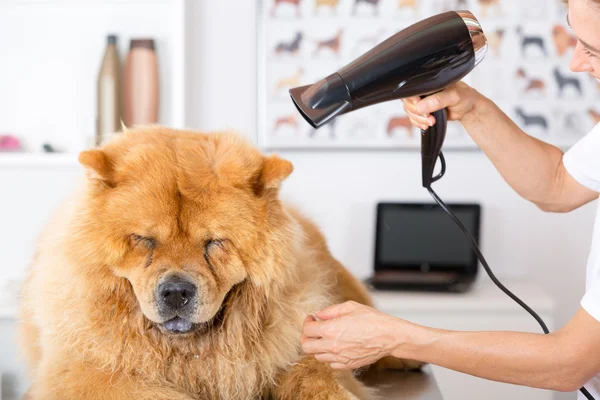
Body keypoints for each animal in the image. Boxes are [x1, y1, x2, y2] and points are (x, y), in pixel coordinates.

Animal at [18, 126, 422, 398]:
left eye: (214, 243)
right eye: (145, 240)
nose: (176, 291)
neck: (191, 353)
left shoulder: (299, 345)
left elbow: (316, 375)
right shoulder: (85, 373)